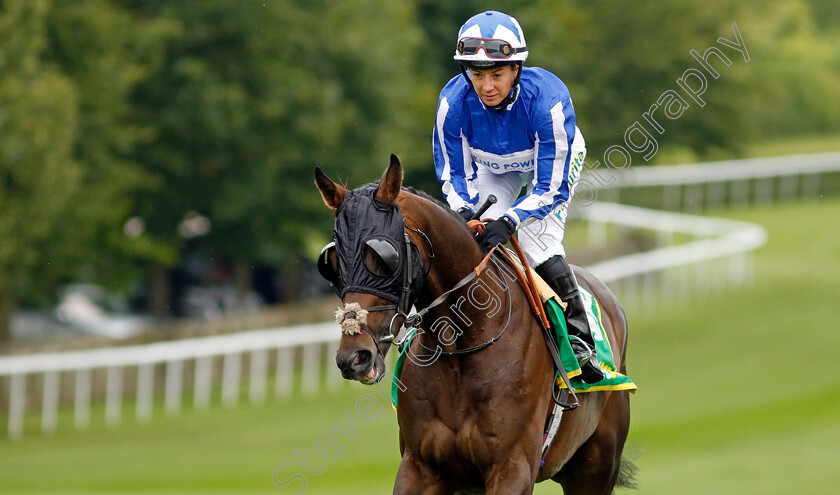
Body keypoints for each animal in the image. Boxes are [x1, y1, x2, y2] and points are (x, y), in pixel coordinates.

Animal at [316, 156, 632, 495]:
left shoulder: (512, 466)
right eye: (331, 263)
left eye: (384, 256)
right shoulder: (420, 467)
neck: (462, 348)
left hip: (595, 468)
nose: (354, 356)